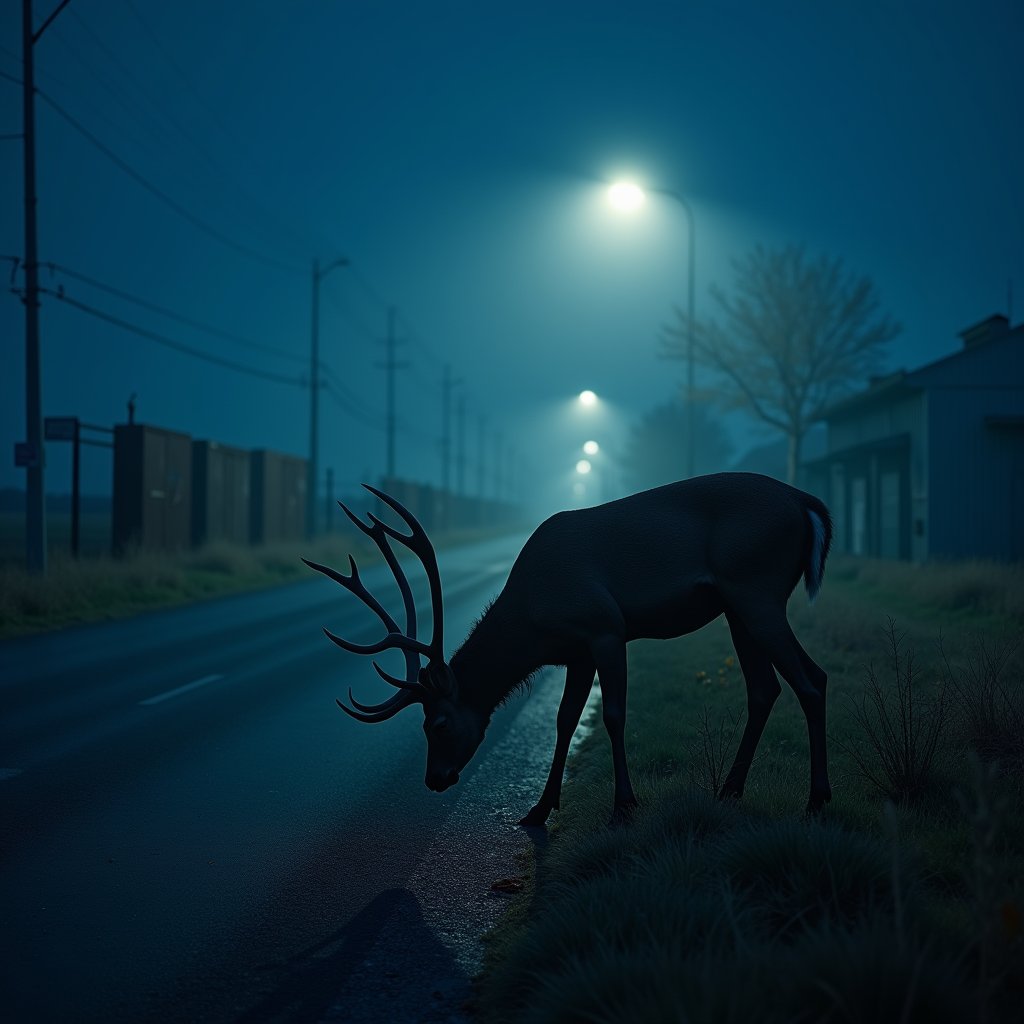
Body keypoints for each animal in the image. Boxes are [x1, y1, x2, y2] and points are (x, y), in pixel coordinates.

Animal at [304, 474, 833, 826]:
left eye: (437, 723)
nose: (435, 779)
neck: (535, 617)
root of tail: (807, 503)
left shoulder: (606, 627)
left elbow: (614, 714)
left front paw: (624, 805)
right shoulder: (576, 653)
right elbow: (565, 720)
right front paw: (539, 809)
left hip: (757, 589)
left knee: (811, 678)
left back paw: (817, 799)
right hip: (737, 606)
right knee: (766, 688)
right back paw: (729, 791)